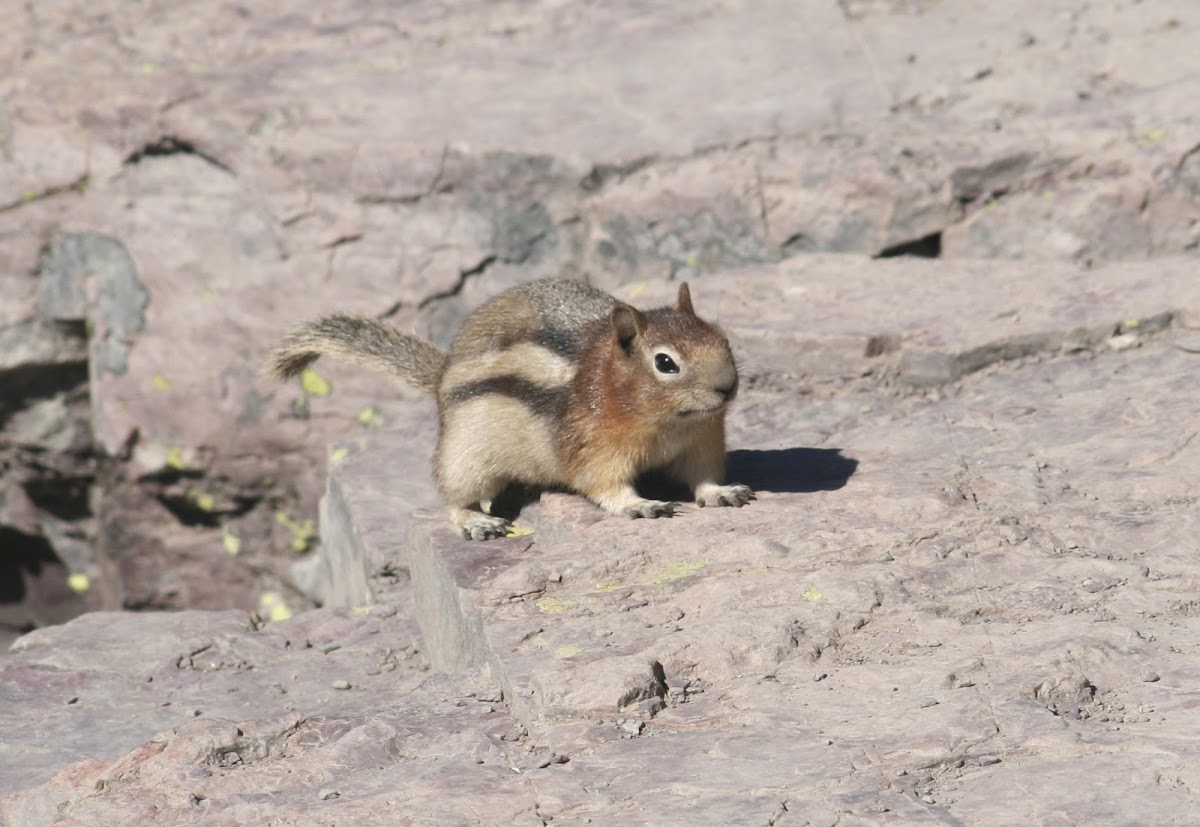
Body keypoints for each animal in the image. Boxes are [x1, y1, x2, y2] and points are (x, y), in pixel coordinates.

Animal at [268, 280, 753, 537]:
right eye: (666, 363)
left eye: (722, 338)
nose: (727, 387)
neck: (666, 425)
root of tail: (442, 375)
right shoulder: (594, 448)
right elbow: (604, 486)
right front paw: (639, 504)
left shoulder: (703, 442)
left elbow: (703, 477)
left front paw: (722, 492)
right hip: (465, 457)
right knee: (452, 497)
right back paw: (475, 521)